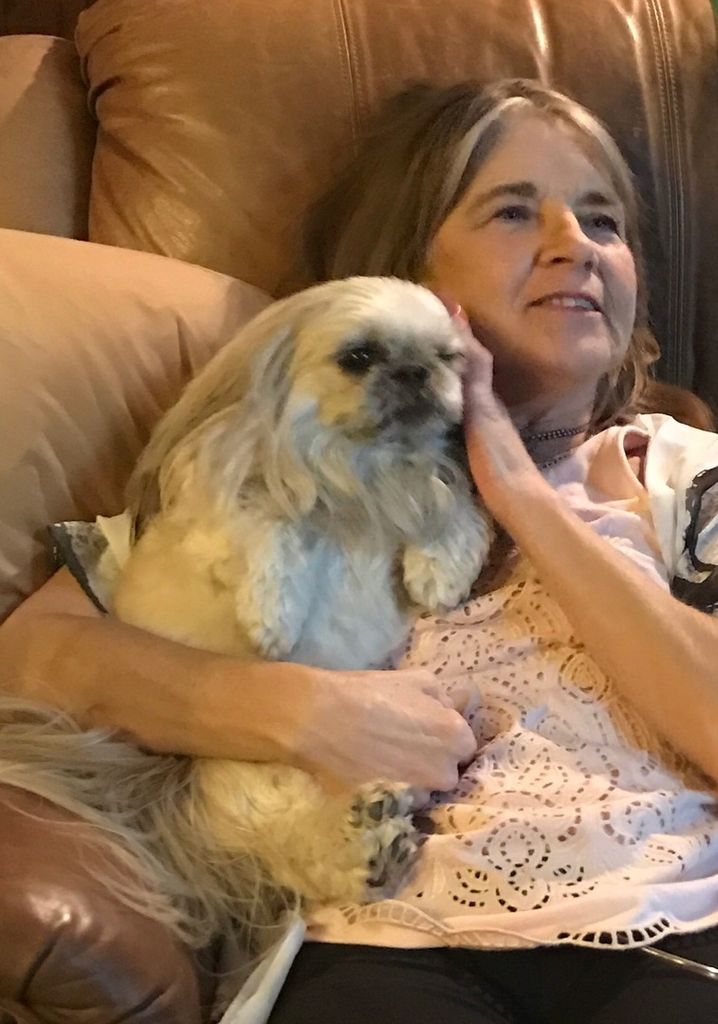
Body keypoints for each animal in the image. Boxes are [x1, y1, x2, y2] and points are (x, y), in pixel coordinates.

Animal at [0, 277, 493, 953]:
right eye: (359, 356)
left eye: (448, 358)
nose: (417, 371)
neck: (360, 474)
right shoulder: (220, 517)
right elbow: (266, 522)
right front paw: (272, 615)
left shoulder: (423, 487)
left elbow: (458, 508)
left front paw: (435, 572)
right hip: (255, 776)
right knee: (293, 843)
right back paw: (364, 844)